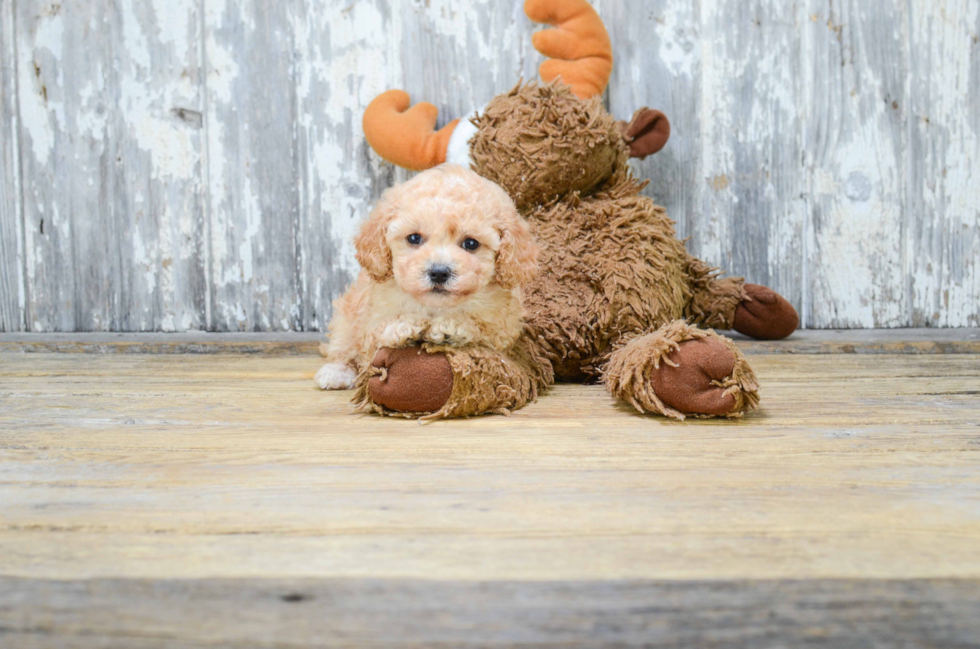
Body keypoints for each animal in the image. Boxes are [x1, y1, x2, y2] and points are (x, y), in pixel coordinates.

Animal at [314, 163, 536, 390]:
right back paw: (336, 372)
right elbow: (377, 333)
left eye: (471, 243)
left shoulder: (503, 329)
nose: (439, 272)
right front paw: (401, 326)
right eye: (414, 238)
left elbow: (483, 330)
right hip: (346, 318)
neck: (434, 307)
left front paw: (453, 327)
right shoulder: (370, 318)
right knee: (342, 346)